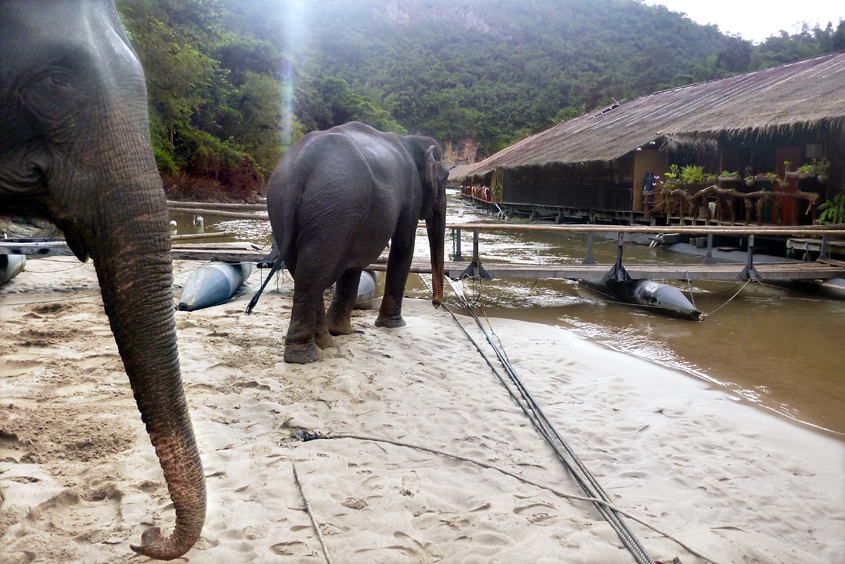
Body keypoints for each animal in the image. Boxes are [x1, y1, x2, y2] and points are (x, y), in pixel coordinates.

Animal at [247, 121, 448, 364]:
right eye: (446, 177)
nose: (436, 304)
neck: (410, 140)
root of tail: (300, 167)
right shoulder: (411, 193)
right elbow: (402, 246)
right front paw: (393, 325)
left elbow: (354, 264)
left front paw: (341, 331)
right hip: (335, 207)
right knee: (315, 272)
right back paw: (307, 355)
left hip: (288, 207)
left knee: (306, 270)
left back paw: (324, 342)